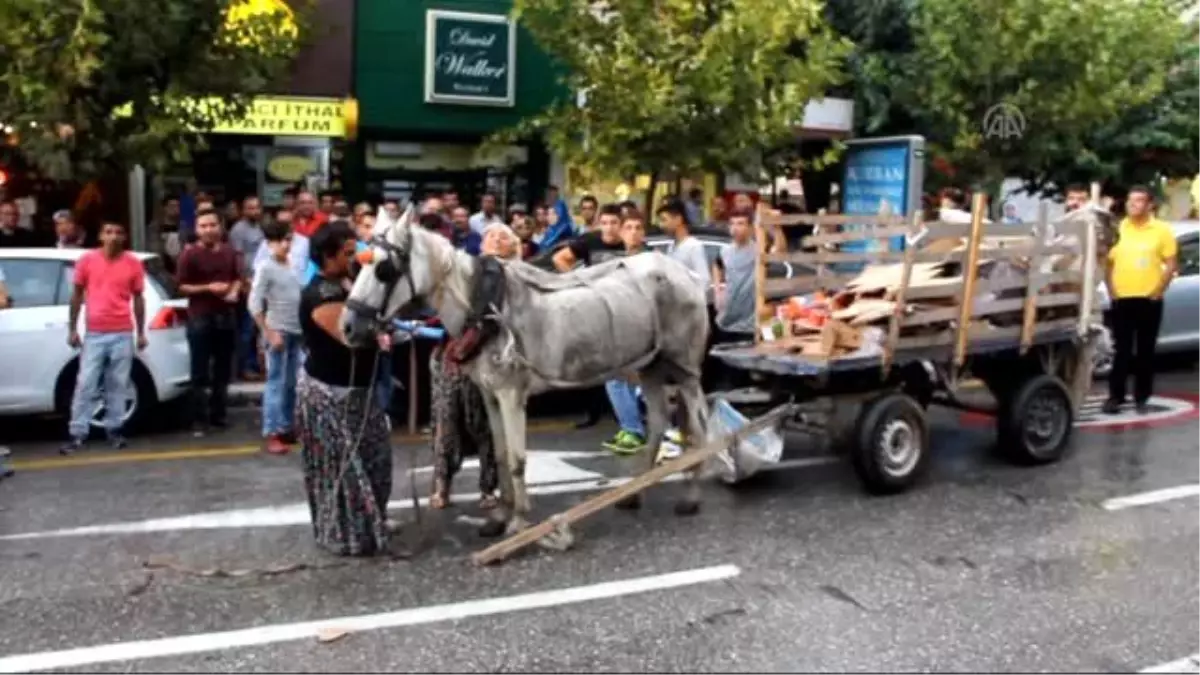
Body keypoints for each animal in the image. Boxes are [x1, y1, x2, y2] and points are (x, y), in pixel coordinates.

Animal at [340, 205, 710, 547]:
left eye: (384, 270)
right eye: (360, 264)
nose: (348, 328)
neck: (484, 308)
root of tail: (685, 273)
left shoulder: (511, 394)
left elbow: (517, 458)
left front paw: (518, 522)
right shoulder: (490, 394)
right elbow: (502, 456)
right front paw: (499, 517)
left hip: (685, 371)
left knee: (699, 428)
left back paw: (692, 497)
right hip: (650, 367)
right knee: (659, 423)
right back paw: (634, 494)